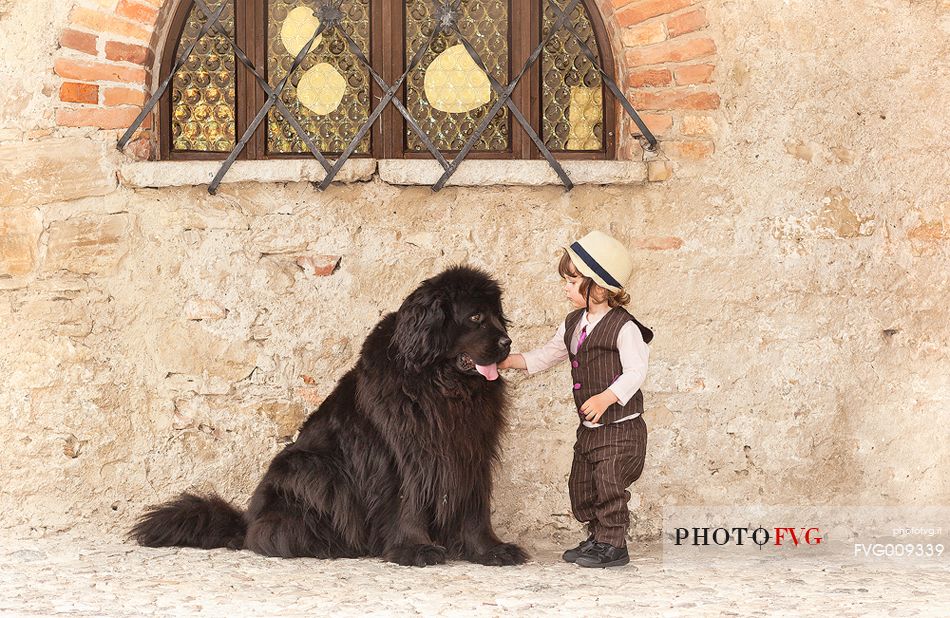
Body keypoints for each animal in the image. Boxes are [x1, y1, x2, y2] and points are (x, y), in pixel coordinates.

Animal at [133, 264, 528, 564]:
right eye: (475, 316)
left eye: (498, 316)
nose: (507, 343)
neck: (440, 384)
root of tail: (245, 521)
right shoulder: (402, 455)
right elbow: (407, 504)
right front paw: (416, 549)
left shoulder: (469, 453)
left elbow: (475, 509)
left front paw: (491, 550)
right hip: (309, 466)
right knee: (274, 534)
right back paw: (328, 545)